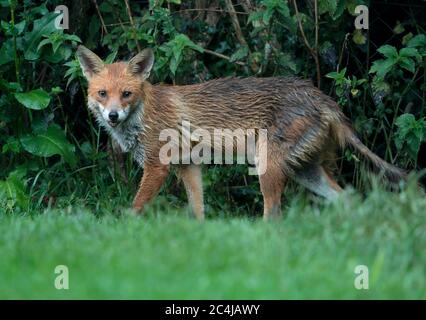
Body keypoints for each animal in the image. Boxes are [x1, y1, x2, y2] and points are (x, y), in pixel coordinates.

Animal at [75, 45, 406, 220]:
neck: (145, 113)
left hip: (267, 169)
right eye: (103, 94)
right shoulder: (188, 166)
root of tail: (320, 96)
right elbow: (197, 210)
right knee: (349, 199)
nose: (113, 116)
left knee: (274, 215)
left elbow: (135, 207)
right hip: (306, 172)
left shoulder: (158, 166)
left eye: (126, 94)